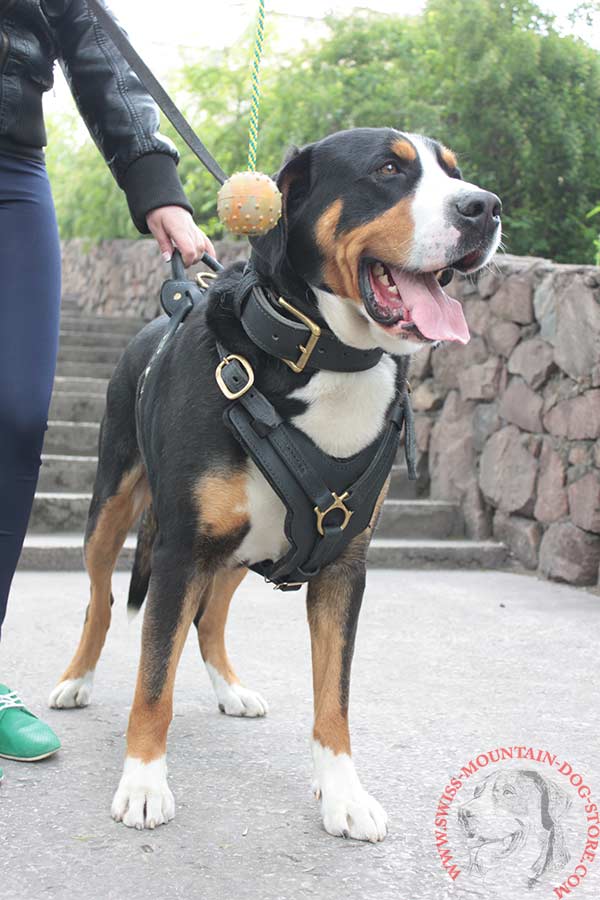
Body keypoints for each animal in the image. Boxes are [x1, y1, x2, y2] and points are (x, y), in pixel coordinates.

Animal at [47, 130, 502, 840]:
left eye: (455, 172)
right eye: (388, 168)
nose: (485, 208)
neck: (324, 355)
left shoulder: (344, 565)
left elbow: (333, 696)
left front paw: (344, 793)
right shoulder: (180, 551)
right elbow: (152, 683)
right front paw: (144, 782)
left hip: (244, 545)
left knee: (208, 619)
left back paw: (229, 687)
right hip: (114, 505)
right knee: (102, 599)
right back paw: (78, 679)